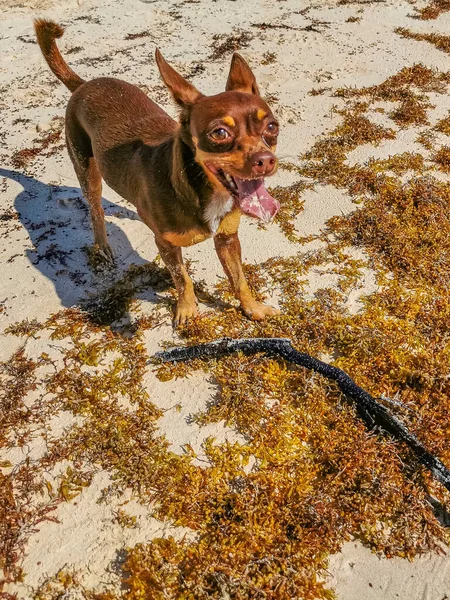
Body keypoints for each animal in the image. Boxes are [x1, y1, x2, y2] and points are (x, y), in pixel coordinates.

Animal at [34, 19, 282, 324]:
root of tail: (83, 85)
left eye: (272, 126)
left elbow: (239, 280)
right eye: (220, 133)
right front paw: (187, 310)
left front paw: (253, 308)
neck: (200, 190)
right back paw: (102, 246)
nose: (266, 160)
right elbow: (183, 279)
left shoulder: (227, 240)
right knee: (96, 210)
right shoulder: (166, 246)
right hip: (86, 169)